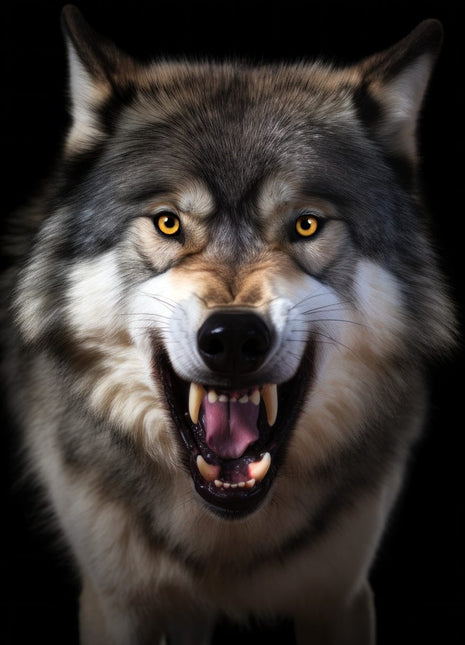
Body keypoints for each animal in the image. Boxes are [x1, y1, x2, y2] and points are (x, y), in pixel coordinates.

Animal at [1, 5, 456, 644]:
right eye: (168, 223)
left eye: (307, 225)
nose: (236, 337)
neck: (225, 533)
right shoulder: (114, 603)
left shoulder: (340, 594)